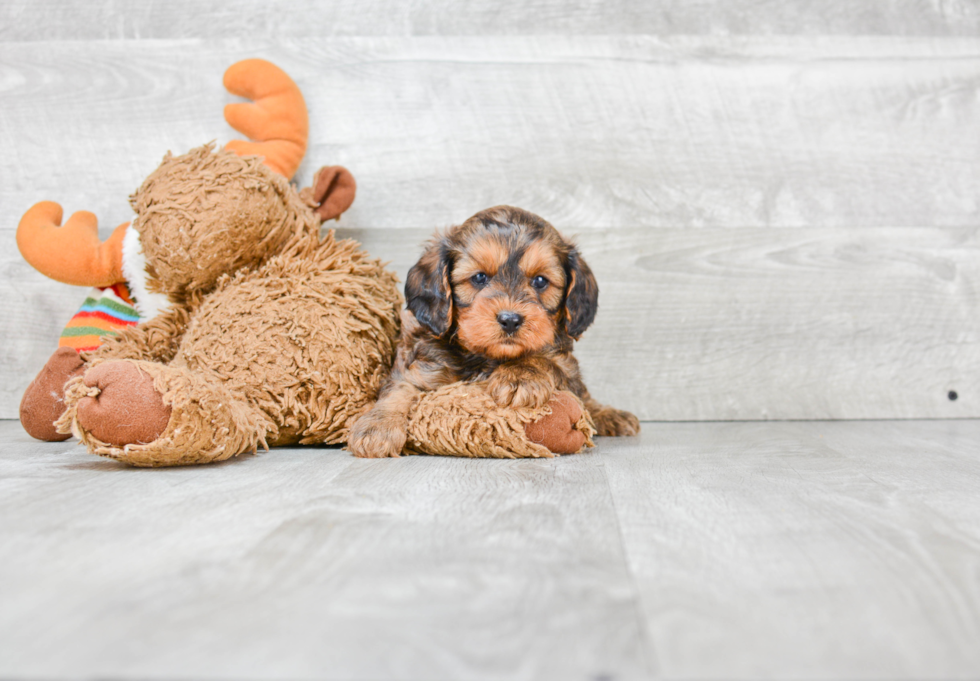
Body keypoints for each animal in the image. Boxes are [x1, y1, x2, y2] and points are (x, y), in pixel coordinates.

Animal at [348, 202, 640, 456]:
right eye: (479, 277)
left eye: (540, 281)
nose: (510, 319)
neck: (485, 357)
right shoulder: (420, 364)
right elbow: (399, 389)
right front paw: (377, 427)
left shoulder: (566, 366)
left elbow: (545, 361)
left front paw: (520, 375)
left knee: (587, 399)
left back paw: (612, 415)